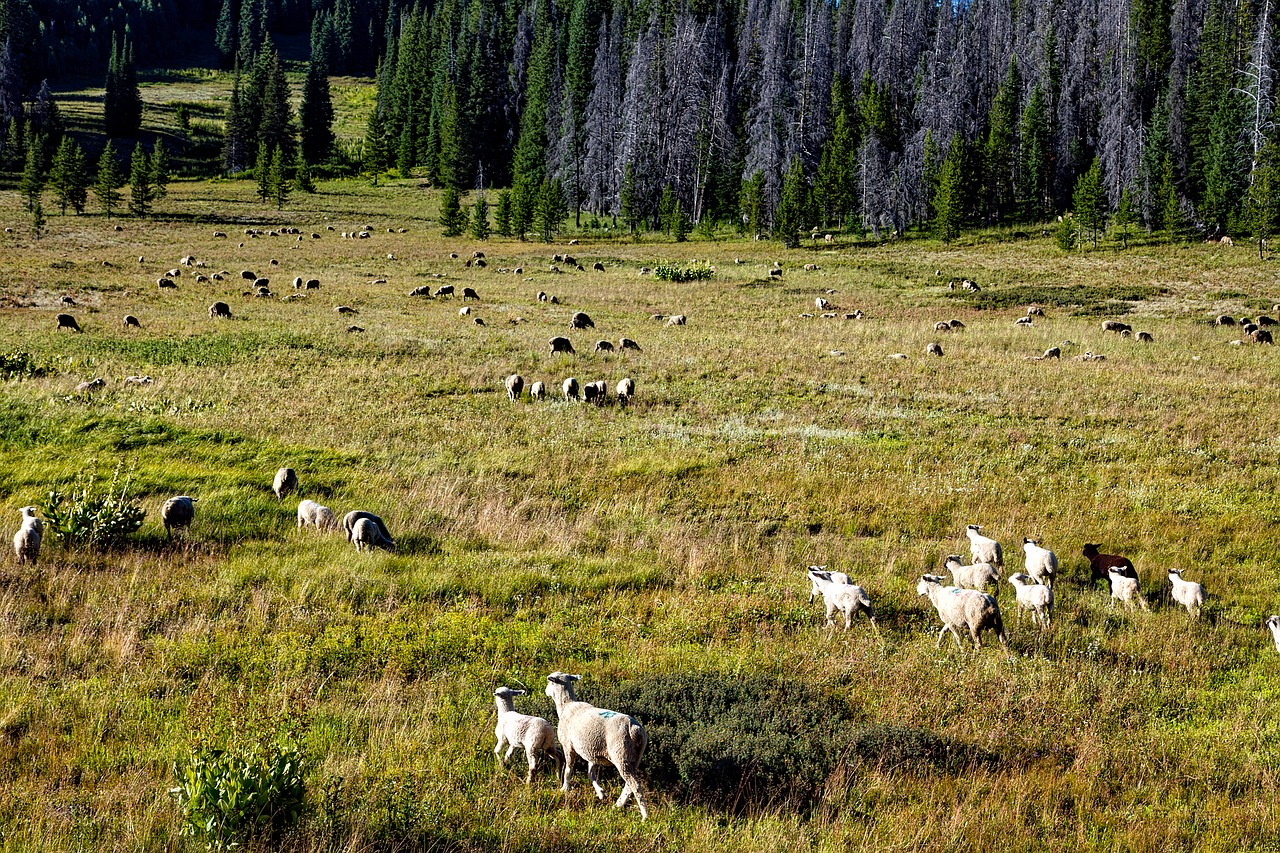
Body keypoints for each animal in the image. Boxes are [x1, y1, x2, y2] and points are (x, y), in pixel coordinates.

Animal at [542, 671, 650, 819]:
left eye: (550, 682)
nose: (545, 691)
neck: (566, 705)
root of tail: (634, 729)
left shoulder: (568, 745)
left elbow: (569, 769)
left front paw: (564, 788)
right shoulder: (592, 753)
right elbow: (591, 774)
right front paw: (601, 793)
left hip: (621, 754)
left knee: (634, 784)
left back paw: (645, 816)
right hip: (635, 756)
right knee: (629, 784)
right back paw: (618, 805)